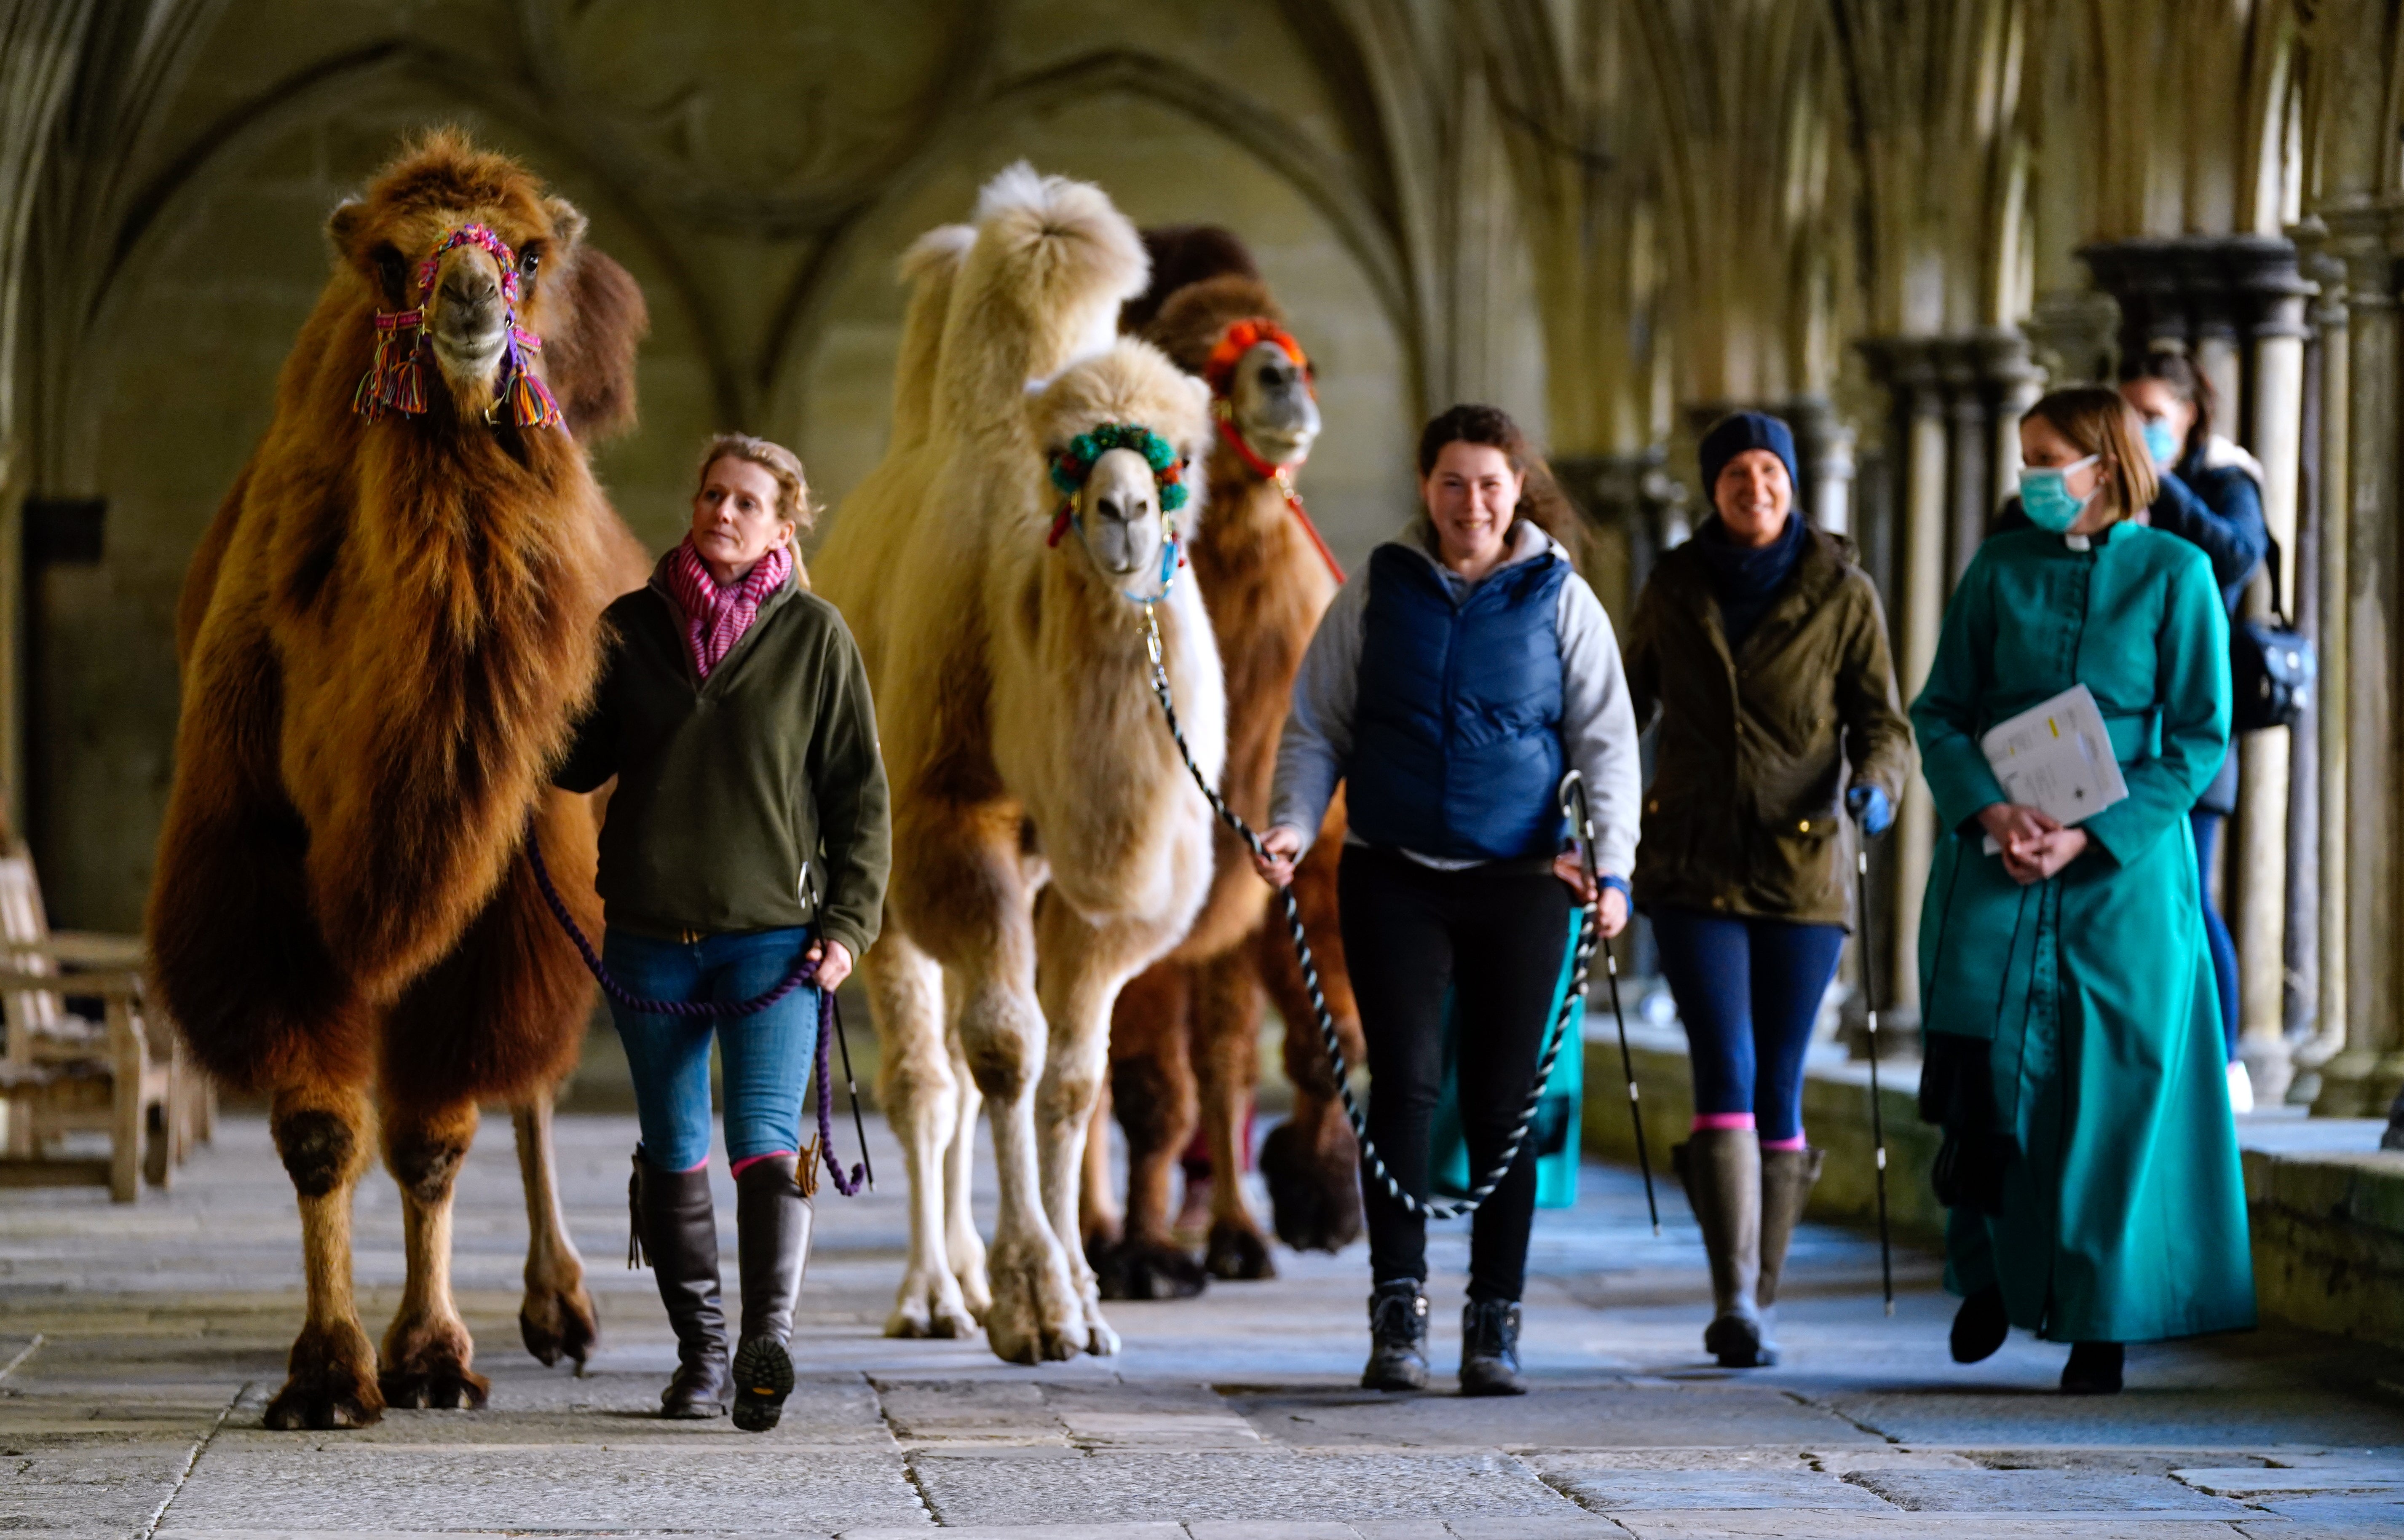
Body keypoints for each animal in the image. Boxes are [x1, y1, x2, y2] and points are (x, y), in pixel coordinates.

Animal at [155, 132, 654, 1432]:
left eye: (523, 253)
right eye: (392, 260)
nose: (469, 298)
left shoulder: (506, 889)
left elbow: (435, 1134)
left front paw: (430, 1354)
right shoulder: (256, 863)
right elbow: (320, 1130)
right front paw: (330, 1369)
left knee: (535, 1085)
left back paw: (560, 1307)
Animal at [817, 168, 1221, 1364]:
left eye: (1179, 459)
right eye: (1067, 460)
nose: (1123, 511)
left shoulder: (1112, 891)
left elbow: (1074, 1080)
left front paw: (1083, 1298)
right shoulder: (949, 821)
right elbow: (1004, 1051)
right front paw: (1032, 1301)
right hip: (878, 867)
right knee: (926, 1075)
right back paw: (933, 1294)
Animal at [1091, 225, 1375, 1297]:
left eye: (1296, 350)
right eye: (1194, 364)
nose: (1283, 382)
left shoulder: (1285, 856)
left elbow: (1304, 1042)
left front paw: (1302, 1208)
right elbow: (1145, 1087)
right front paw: (1144, 1257)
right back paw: (1098, 1234)